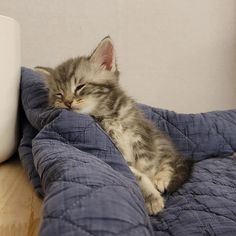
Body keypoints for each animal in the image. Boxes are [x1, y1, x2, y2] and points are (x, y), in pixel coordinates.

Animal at [36, 37, 193, 216]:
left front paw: (154, 179)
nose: (67, 102)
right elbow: (137, 175)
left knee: (168, 159)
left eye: (80, 86)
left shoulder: (140, 135)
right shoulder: (117, 150)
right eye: (59, 95)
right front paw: (151, 198)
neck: (108, 114)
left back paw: (162, 178)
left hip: (157, 138)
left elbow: (147, 164)